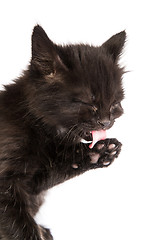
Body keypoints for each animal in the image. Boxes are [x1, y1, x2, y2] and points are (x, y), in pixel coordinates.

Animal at [0, 25, 126, 239]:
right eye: (88, 103)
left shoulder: (33, 184)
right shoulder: (5, 184)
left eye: (114, 104)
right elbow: (19, 227)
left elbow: (59, 167)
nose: (105, 122)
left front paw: (100, 151)